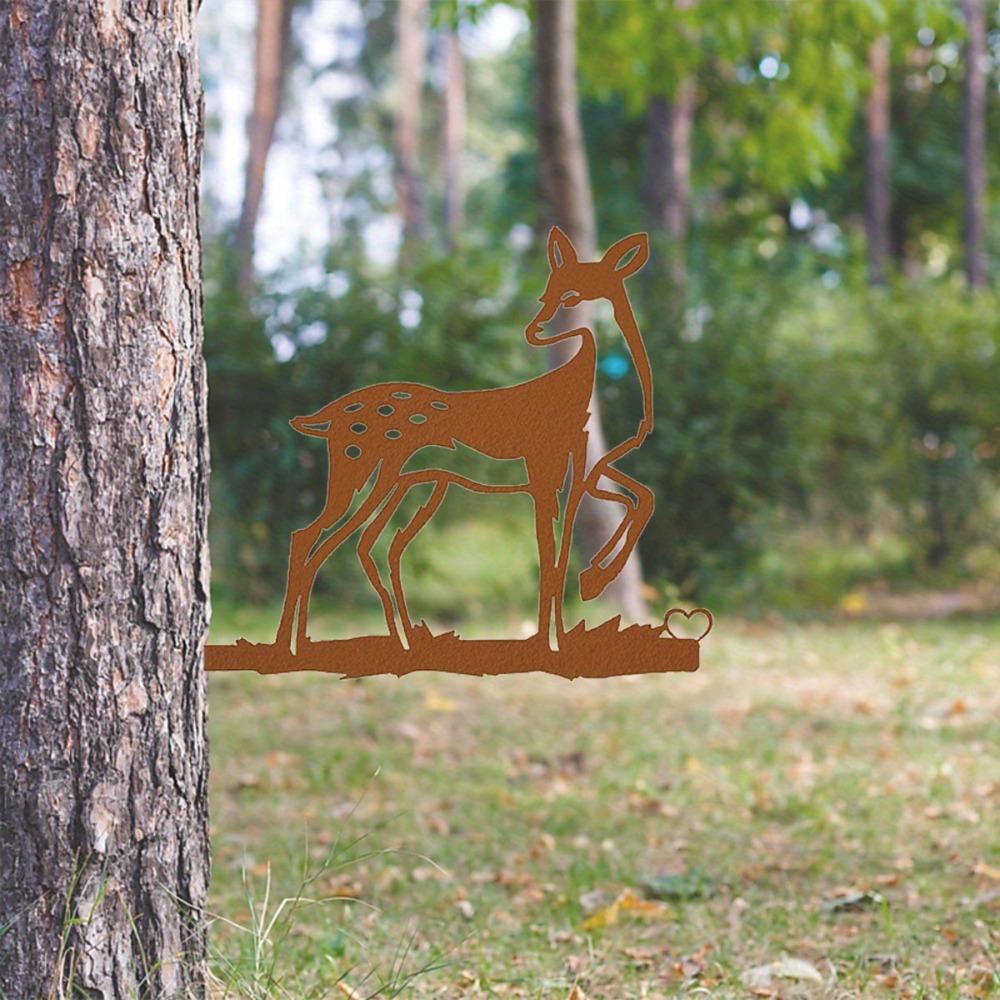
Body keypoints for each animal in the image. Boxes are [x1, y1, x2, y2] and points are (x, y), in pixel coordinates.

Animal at [274, 227, 654, 655]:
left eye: (571, 296)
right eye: (545, 295)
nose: (533, 331)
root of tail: (327, 415)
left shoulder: (584, 469)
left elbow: (634, 503)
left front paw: (585, 594)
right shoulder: (543, 470)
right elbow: (551, 554)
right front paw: (550, 637)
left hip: (413, 485)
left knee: (370, 545)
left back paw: (398, 640)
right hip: (363, 474)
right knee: (311, 538)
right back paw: (294, 646)